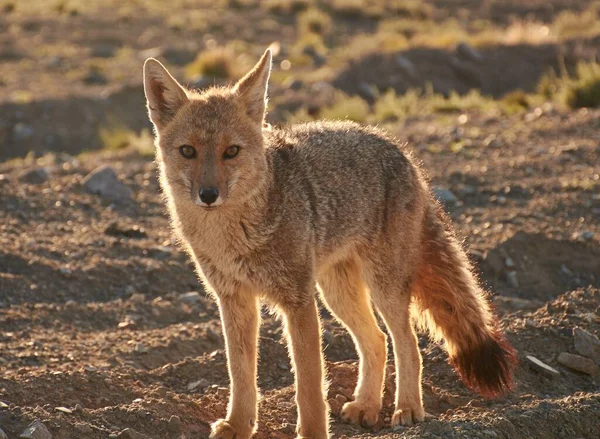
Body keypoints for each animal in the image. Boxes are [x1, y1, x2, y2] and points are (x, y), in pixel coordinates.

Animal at [144, 49, 516, 439]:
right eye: (188, 151)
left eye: (231, 151)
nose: (208, 195)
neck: (234, 236)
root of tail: (400, 150)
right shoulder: (234, 300)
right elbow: (241, 373)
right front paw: (238, 425)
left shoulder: (297, 301)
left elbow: (309, 385)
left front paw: (311, 432)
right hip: (336, 293)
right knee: (377, 341)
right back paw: (367, 406)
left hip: (381, 288)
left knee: (407, 343)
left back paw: (408, 408)